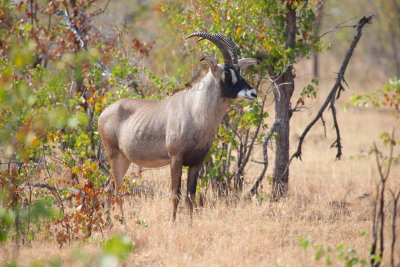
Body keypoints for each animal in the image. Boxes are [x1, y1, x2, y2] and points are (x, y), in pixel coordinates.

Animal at [98, 32, 258, 222]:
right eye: (227, 72)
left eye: (239, 71)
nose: (253, 93)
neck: (194, 110)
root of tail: (103, 113)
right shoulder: (176, 159)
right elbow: (176, 194)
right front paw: (173, 223)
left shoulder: (197, 162)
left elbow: (191, 196)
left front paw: (190, 224)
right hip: (114, 155)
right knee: (117, 190)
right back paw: (123, 224)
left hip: (124, 159)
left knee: (109, 188)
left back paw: (109, 223)